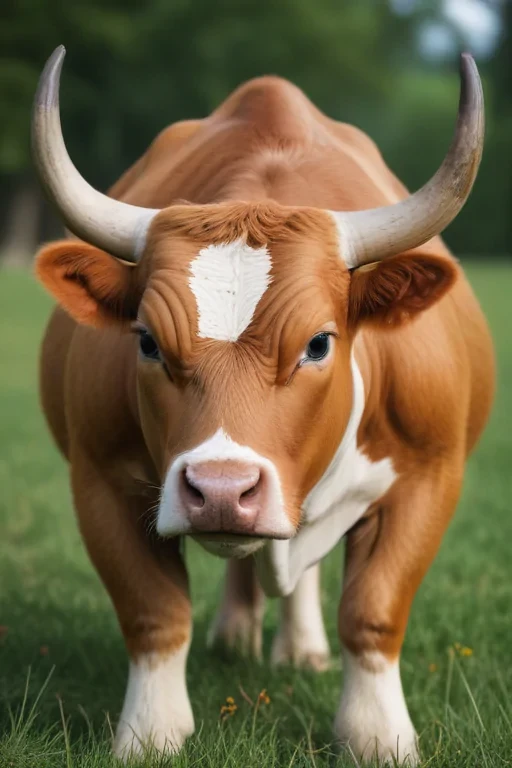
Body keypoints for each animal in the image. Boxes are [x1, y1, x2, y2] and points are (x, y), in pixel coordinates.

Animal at [32, 45, 494, 765]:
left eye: (318, 343)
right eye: (146, 341)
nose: (222, 490)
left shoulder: (429, 473)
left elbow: (372, 611)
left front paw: (378, 735)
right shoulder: (99, 479)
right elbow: (154, 612)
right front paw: (151, 733)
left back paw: (300, 647)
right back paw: (236, 633)